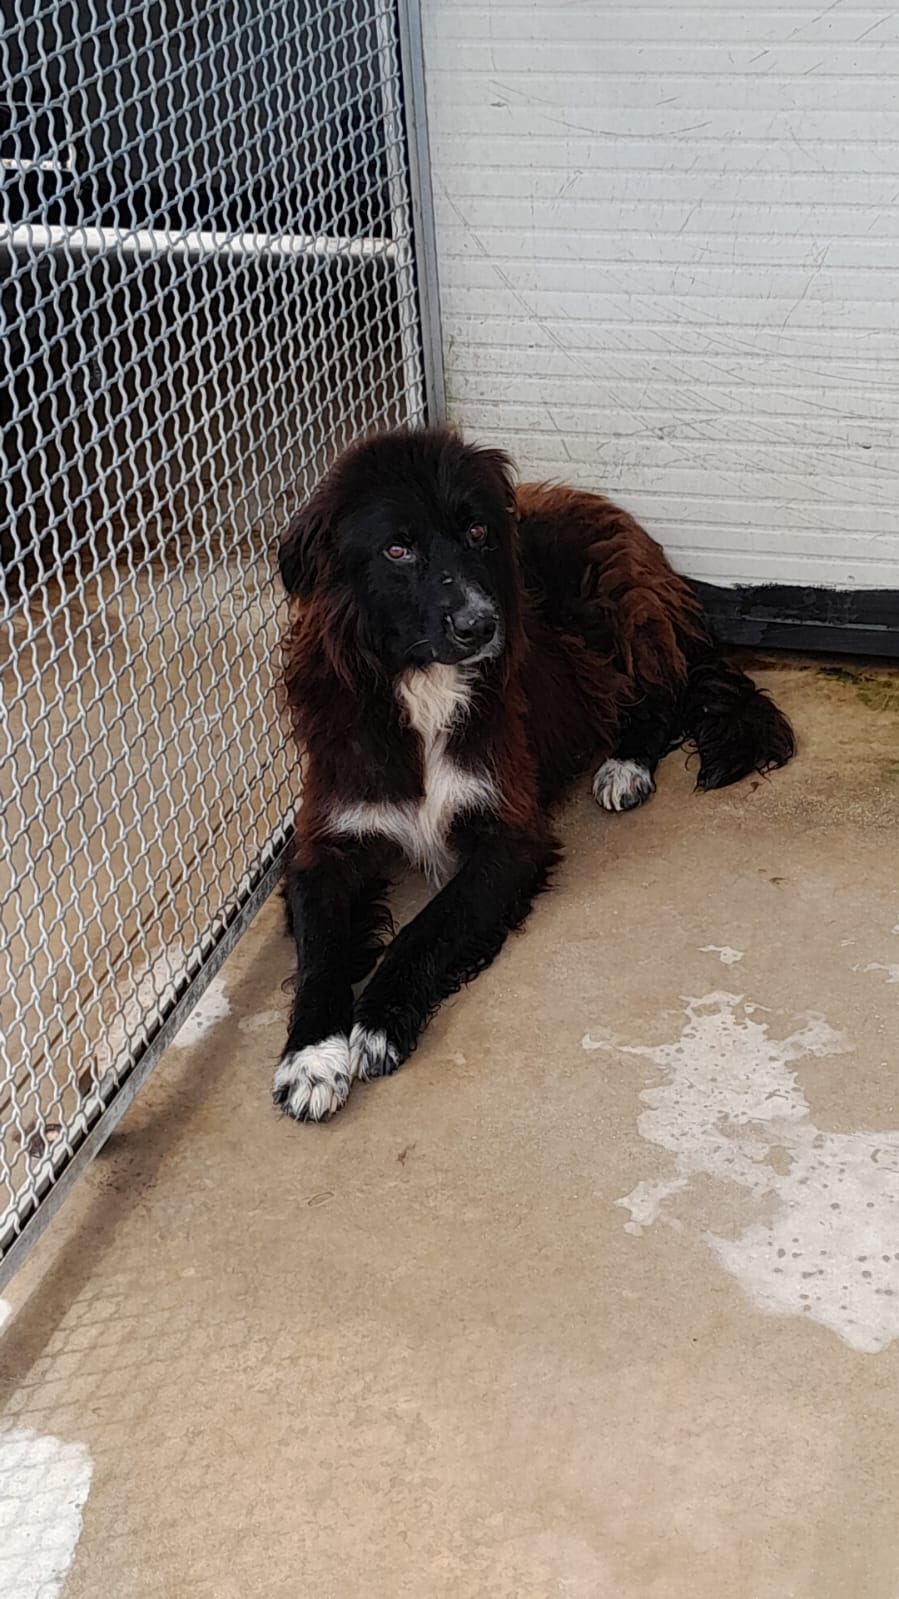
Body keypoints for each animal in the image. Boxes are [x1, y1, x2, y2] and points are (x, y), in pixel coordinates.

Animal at [273, 425, 794, 1121]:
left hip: (611, 616)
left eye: (476, 532)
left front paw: (379, 1020)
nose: (480, 625)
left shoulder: (510, 834)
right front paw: (310, 1058)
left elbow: (427, 925)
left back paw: (625, 767)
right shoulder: (324, 845)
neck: (421, 687)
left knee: (665, 694)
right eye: (396, 549)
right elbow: (320, 955)